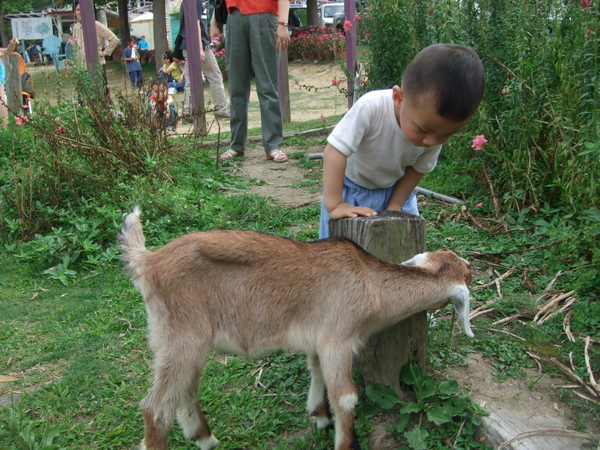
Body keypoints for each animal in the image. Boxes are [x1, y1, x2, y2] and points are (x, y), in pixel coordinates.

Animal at [117, 208, 474, 450]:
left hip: (176, 339)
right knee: (155, 408)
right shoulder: (337, 339)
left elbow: (316, 371)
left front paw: (319, 415)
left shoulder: (317, 340)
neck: (370, 283)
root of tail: (147, 262)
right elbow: (346, 398)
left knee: (185, 389)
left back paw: (205, 438)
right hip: (183, 336)